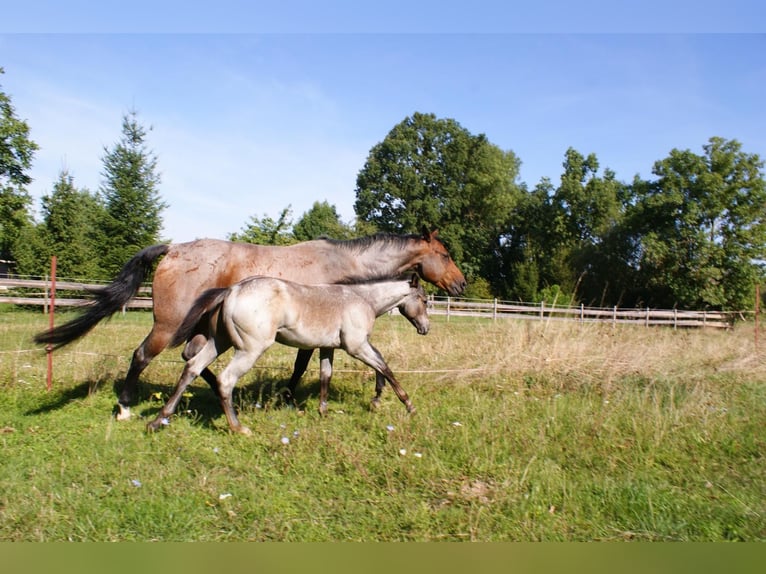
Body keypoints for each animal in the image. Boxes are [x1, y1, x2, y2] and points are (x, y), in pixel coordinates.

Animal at [146, 275, 430, 434]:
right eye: (425, 300)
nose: (426, 328)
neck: (362, 299)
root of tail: (232, 290)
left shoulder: (328, 347)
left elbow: (326, 375)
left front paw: (324, 412)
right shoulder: (357, 346)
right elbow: (384, 366)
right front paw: (408, 405)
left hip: (219, 342)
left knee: (192, 368)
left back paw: (158, 421)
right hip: (249, 349)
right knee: (224, 380)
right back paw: (238, 428)